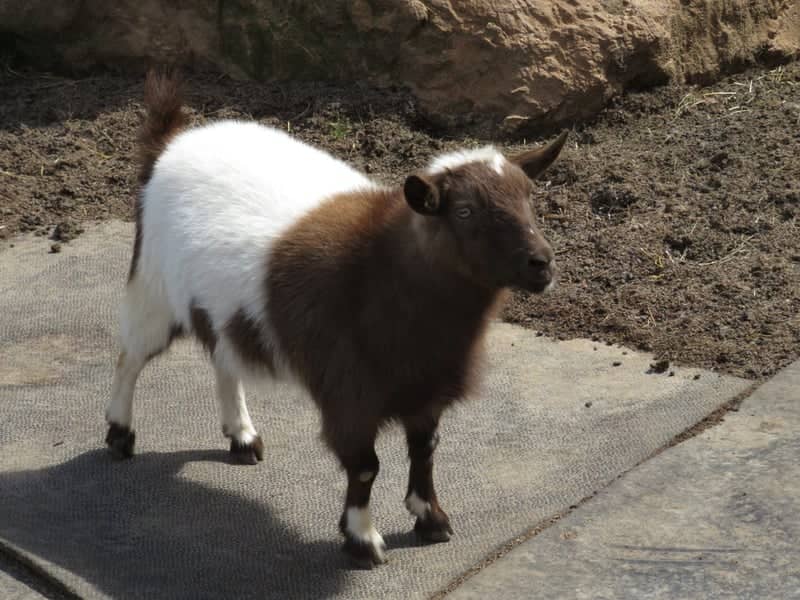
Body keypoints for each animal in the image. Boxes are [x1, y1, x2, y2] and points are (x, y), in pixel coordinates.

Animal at [105, 71, 567, 567]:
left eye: (529, 199)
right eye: (464, 211)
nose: (542, 264)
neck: (380, 271)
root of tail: (170, 143)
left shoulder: (426, 389)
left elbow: (424, 451)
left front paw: (431, 519)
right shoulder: (349, 393)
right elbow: (365, 467)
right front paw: (362, 540)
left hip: (218, 307)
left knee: (224, 358)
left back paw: (242, 437)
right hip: (152, 286)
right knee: (130, 359)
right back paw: (120, 434)